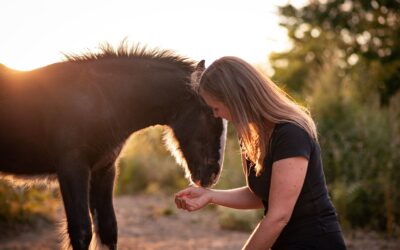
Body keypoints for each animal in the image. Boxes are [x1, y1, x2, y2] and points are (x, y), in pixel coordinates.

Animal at [0, 42, 227, 249]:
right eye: (210, 113)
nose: (213, 175)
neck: (100, 99)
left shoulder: (104, 170)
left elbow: (108, 228)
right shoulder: (72, 168)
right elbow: (81, 230)